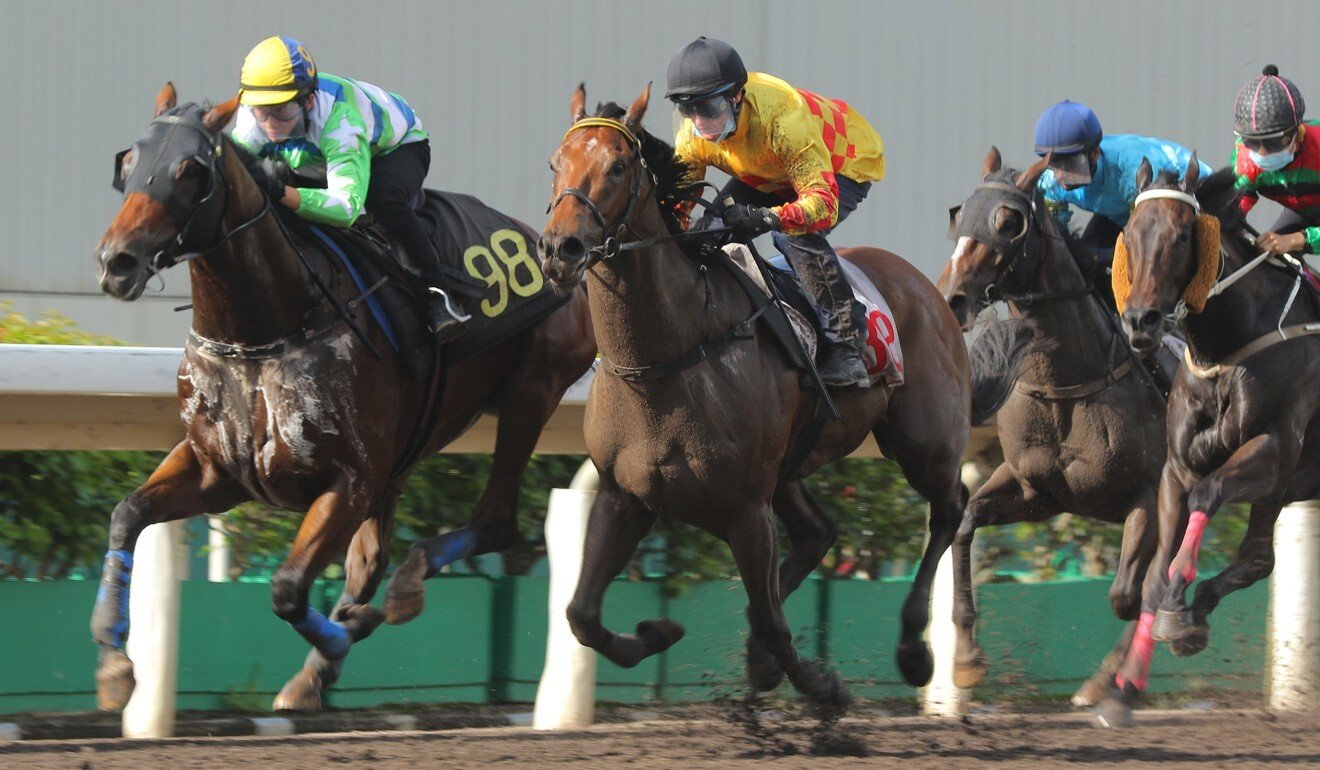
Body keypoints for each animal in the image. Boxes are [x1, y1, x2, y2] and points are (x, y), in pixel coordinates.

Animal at [87, 82, 594, 713]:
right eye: (127, 163)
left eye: (189, 170)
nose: (117, 261)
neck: (261, 332)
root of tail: (559, 251)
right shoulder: (217, 469)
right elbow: (126, 514)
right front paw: (113, 660)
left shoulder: (348, 482)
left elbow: (285, 589)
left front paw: (335, 642)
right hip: (406, 453)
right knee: (371, 561)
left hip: (532, 393)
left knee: (494, 521)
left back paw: (394, 597)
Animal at [530, 85, 976, 718]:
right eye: (555, 164)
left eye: (617, 166)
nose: (558, 249)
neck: (668, 355)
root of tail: (931, 289)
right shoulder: (626, 496)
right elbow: (581, 615)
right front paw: (657, 632)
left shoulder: (745, 509)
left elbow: (770, 620)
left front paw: (823, 686)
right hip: (790, 467)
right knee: (820, 533)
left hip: (924, 443)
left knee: (950, 510)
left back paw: (919, 650)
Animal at [939, 147, 1166, 707]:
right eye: (960, 214)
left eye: (1008, 222)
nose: (952, 298)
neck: (1068, 380)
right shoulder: (1036, 491)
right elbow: (964, 526)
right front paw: (967, 661)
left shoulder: (1150, 496)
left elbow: (1128, 594)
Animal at [1098, 159, 1320, 723]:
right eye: (1130, 231)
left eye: (1182, 236)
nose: (1141, 321)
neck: (1226, 347)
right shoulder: (1177, 466)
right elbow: (1153, 576)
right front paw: (1123, 688)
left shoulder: (1273, 451)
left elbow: (1207, 496)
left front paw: (1181, 611)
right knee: (1259, 559)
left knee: (1257, 557)